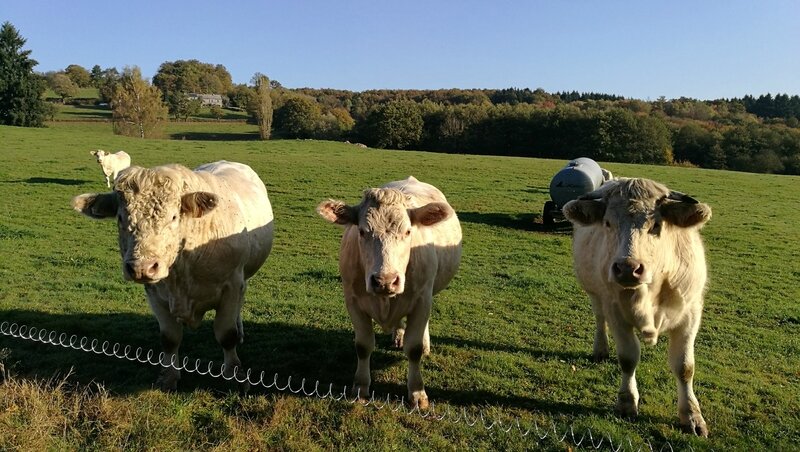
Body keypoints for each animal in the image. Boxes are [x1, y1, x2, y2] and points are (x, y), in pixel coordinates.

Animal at [75, 162, 276, 392]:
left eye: (173, 217)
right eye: (120, 217)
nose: (142, 267)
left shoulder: (231, 285)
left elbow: (227, 335)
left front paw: (235, 375)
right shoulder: (155, 294)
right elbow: (169, 338)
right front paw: (168, 377)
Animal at [316, 177, 460, 410]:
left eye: (408, 232)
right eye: (362, 231)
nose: (385, 280)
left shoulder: (422, 300)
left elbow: (414, 349)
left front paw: (417, 393)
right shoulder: (352, 301)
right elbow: (363, 345)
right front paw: (361, 387)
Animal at [564, 178, 712, 436]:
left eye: (656, 224)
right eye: (607, 223)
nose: (627, 268)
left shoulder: (690, 314)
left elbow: (685, 367)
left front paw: (692, 416)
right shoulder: (616, 312)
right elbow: (628, 358)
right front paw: (626, 402)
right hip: (595, 293)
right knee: (599, 318)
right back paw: (600, 349)